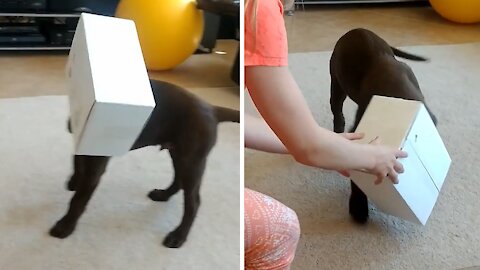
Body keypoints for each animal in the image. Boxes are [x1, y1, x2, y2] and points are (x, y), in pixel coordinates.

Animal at [48, 79, 240, 248]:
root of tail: (213, 109)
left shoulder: (97, 163)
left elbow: (78, 199)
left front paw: (65, 226)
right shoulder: (83, 144)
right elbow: (77, 163)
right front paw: (74, 182)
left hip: (191, 159)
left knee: (193, 202)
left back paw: (178, 236)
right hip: (178, 153)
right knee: (178, 180)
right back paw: (163, 195)